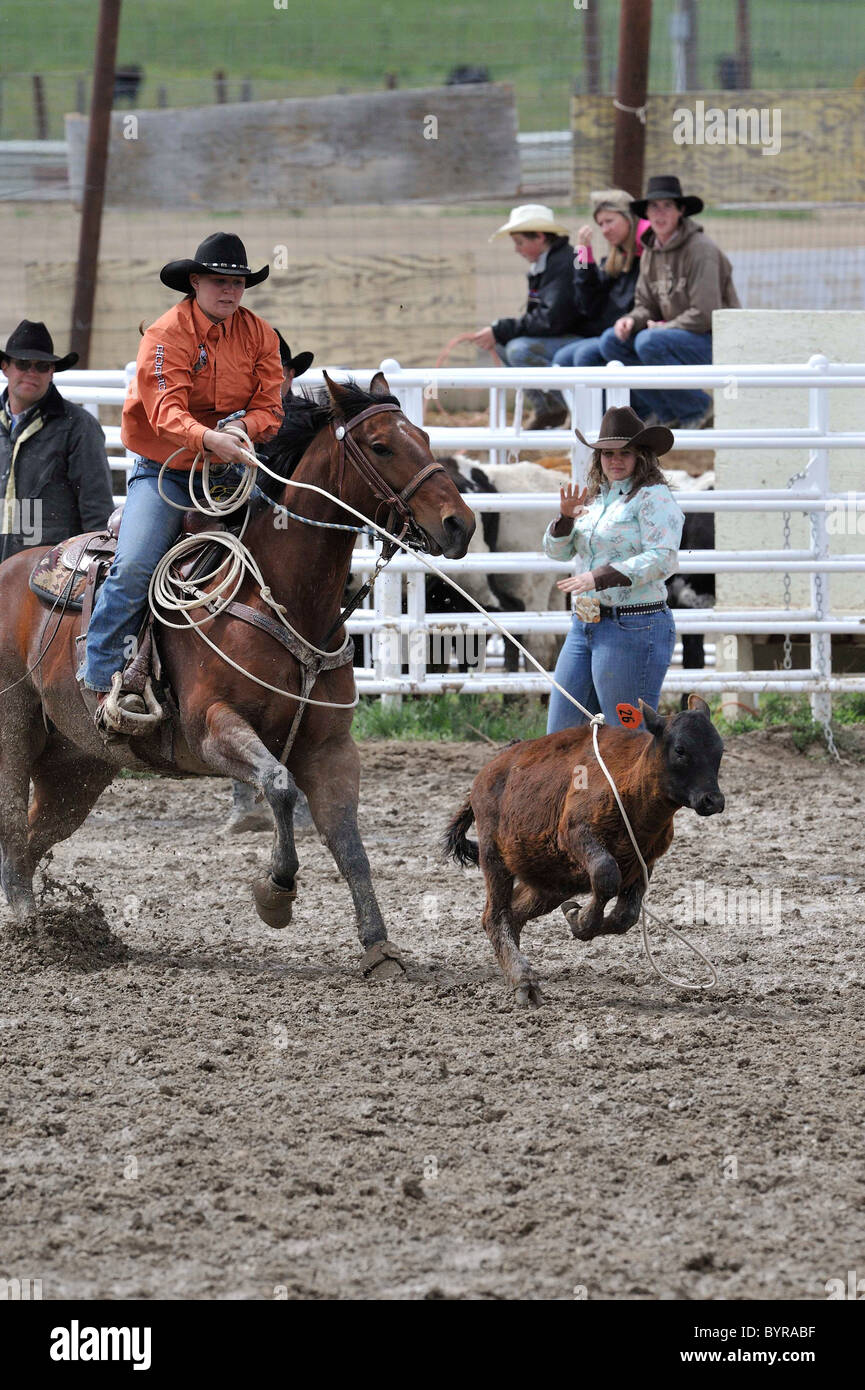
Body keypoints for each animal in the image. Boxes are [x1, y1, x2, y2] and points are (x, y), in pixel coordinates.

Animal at [443, 694, 725, 1007]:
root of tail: (490, 770)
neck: (631, 789)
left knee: (514, 914)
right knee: (495, 916)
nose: (713, 800)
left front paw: (577, 917)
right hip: (495, 857)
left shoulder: (644, 862)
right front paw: (581, 920)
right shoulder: (577, 834)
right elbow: (605, 876)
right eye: (680, 750)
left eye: (719, 750)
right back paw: (523, 981)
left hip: (551, 881)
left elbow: (626, 915)